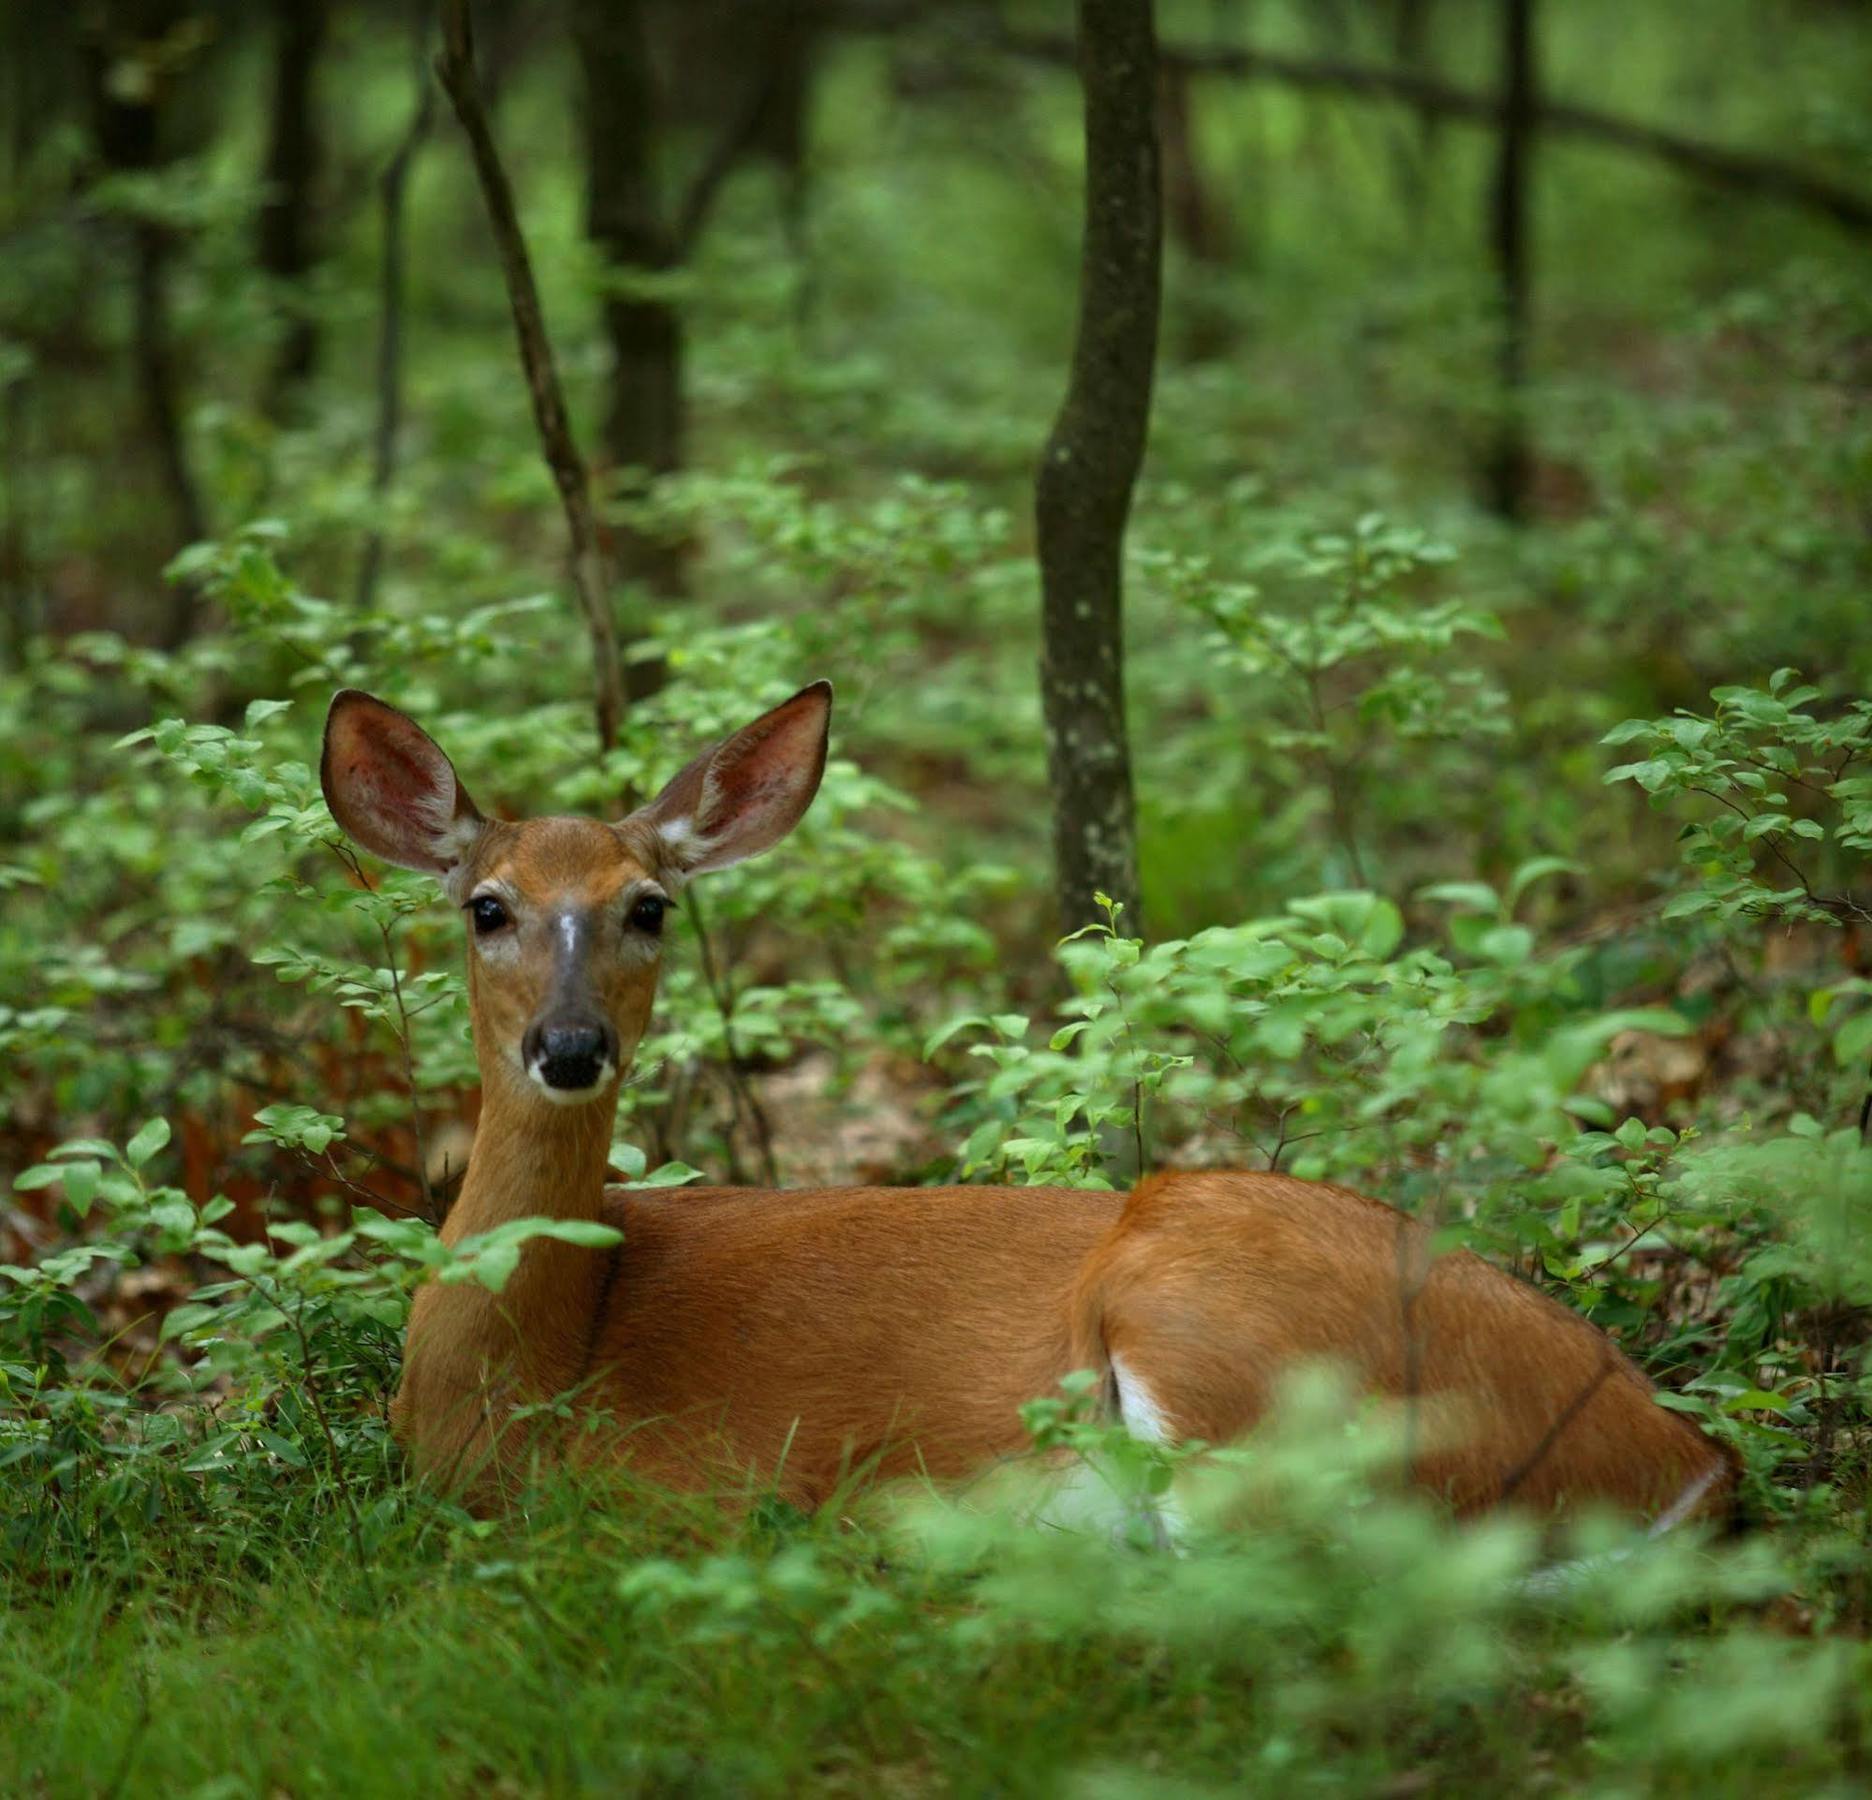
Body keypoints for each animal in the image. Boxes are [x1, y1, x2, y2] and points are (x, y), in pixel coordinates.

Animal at [318, 677, 1722, 1526]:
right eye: (486, 906)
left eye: (650, 906)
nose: (570, 1045)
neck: (519, 1380)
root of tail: (1686, 1462)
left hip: (1214, 1323)